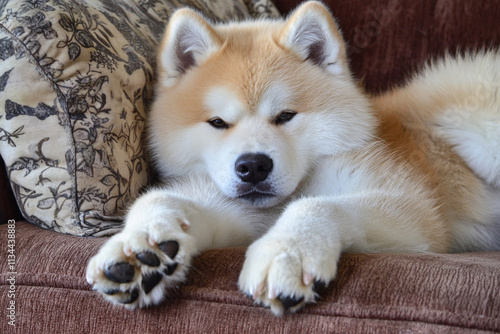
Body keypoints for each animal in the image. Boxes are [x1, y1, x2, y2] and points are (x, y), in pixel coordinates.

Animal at [86, 1, 500, 314]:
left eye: (285, 116)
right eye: (218, 123)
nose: (253, 165)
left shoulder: (414, 211)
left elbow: (317, 204)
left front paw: (288, 251)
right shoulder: (238, 213)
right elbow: (161, 200)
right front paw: (141, 247)